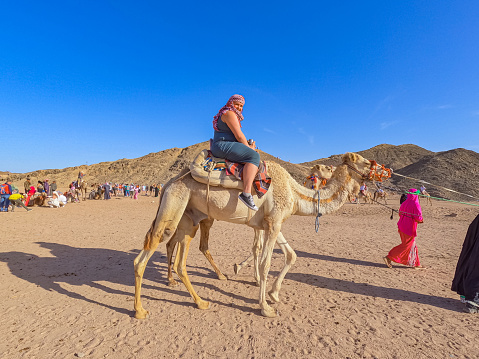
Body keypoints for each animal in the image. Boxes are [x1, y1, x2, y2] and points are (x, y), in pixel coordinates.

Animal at [132, 151, 378, 318]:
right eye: (366, 162)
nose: (380, 172)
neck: (294, 192)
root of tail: (167, 184)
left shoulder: (270, 223)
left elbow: (289, 255)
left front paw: (273, 293)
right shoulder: (274, 222)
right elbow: (266, 263)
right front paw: (266, 307)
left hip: (189, 217)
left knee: (179, 259)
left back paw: (199, 300)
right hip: (174, 207)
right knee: (146, 254)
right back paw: (140, 310)